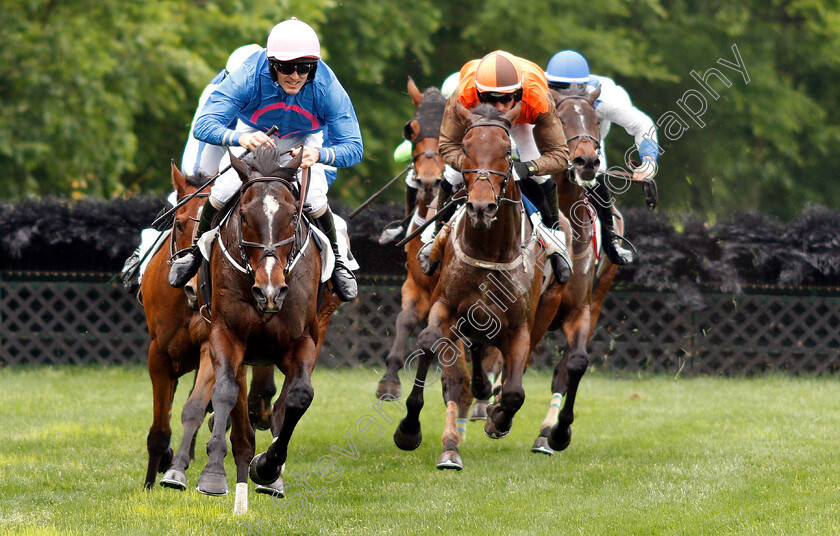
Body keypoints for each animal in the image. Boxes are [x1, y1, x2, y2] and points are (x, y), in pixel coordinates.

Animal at [195, 146, 340, 516]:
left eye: (292, 216)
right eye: (245, 216)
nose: (270, 292)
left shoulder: (302, 341)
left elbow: (299, 396)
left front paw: (268, 467)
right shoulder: (226, 334)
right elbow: (226, 392)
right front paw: (213, 475)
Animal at [528, 86, 620, 454]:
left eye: (596, 120)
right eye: (562, 120)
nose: (587, 161)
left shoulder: (580, 309)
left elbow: (576, 364)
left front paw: (559, 431)